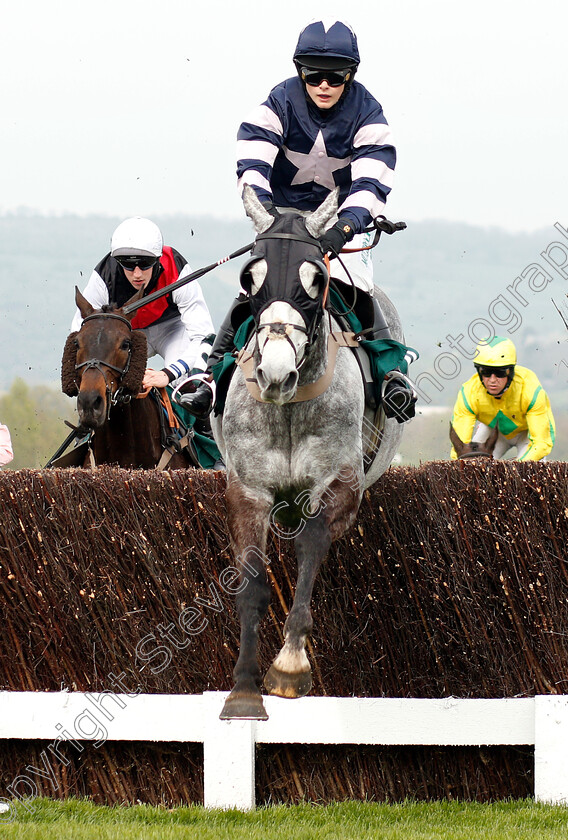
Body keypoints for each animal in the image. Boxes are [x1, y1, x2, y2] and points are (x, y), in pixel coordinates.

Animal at [212, 187, 404, 720]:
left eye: (316, 277)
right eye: (250, 277)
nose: (275, 374)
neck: (290, 407)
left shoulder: (342, 483)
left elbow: (312, 543)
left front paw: (290, 664)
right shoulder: (249, 490)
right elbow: (252, 581)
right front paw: (243, 690)